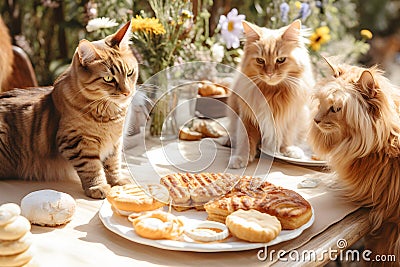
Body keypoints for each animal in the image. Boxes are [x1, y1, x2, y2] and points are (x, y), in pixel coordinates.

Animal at [228, 19, 316, 169]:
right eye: (260, 60)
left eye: (280, 60)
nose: (269, 74)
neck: (272, 94)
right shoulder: (247, 117)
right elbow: (245, 140)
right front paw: (241, 157)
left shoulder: (291, 116)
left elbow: (287, 136)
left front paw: (288, 150)